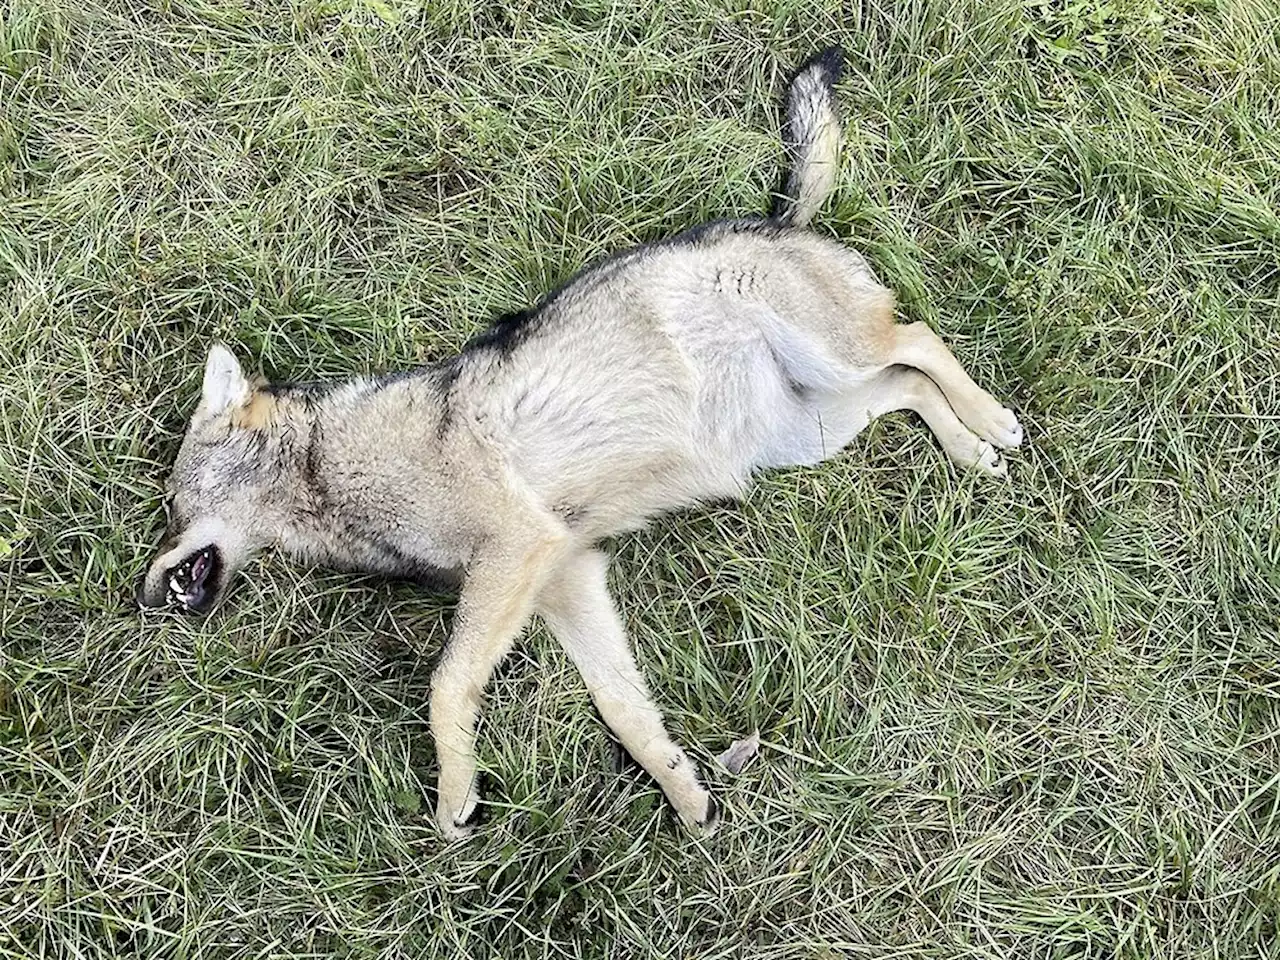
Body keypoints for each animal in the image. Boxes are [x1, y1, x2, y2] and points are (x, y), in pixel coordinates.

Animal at [137, 48, 1018, 839]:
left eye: (174, 506)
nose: (142, 596)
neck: (333, 467)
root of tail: (772, 219)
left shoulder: (516, 551)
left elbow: (445, 685)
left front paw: (456, 791)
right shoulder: (566, 577)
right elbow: (624, 709)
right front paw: (686, 793)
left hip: (838, 361)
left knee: (919, 337)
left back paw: (993, 422)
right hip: (809, 430)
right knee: (906, 386)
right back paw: (970, 450)